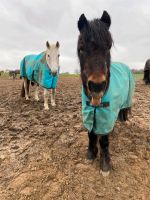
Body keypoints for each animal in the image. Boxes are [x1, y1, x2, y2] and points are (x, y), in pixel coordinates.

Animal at [77, 10, 135, 176]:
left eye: (108, 47)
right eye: (81, 48)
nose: (97, 86)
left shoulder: (106, 115)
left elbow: (103, 139)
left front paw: (105, 164)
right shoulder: (89, 111)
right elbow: (91, 133)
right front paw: (91, 154)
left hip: (126, 101)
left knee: (123, 112)